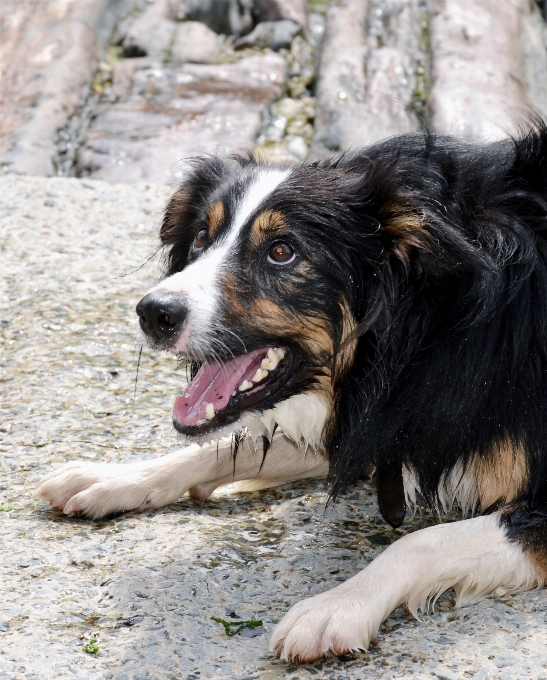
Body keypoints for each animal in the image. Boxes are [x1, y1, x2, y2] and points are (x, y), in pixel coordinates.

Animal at [35, 127, 547, 660]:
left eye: (282, 251)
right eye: (201, 237)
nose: (153, 312)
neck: (429, 325)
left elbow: (418, 542)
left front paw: (336, 607)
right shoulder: (375, 422)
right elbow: (222, 446)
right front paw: (112, 477)